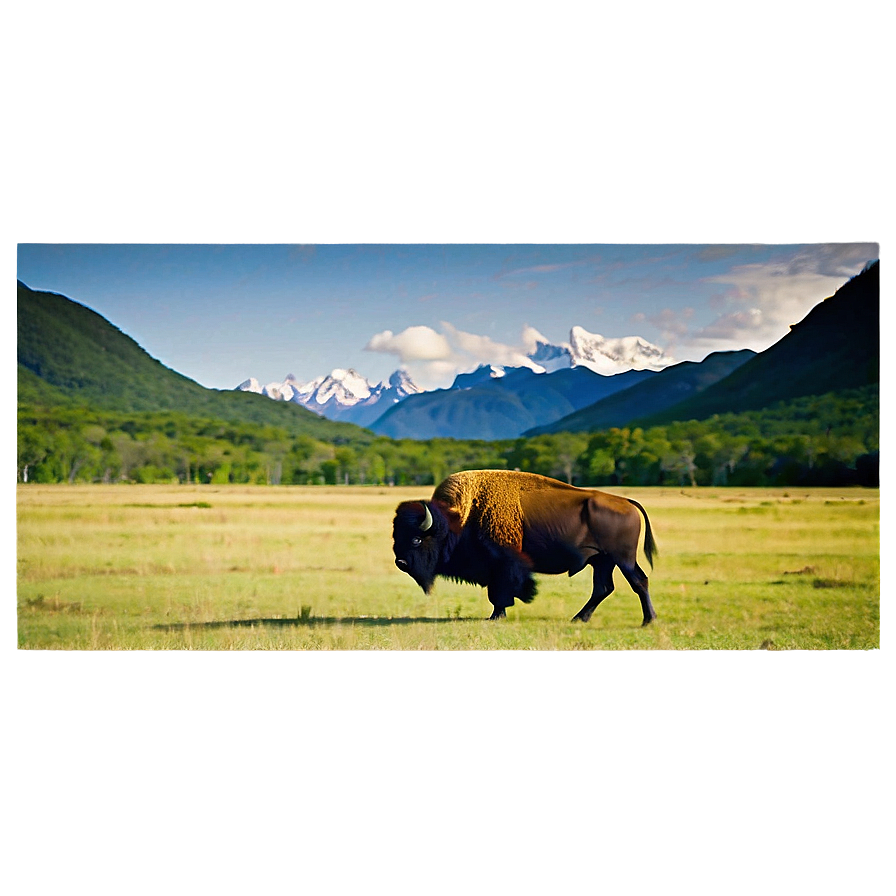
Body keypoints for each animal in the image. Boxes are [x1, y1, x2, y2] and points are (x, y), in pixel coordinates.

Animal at [394, 468, 656, 624]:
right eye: (396, 536)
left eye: (417, 539)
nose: (401, 562)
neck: (460, 519)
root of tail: (627, 502)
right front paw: (499, 614)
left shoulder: (503, 563)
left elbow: (501, 591)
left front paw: (497, 616)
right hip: (602, 561)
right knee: (603, 587)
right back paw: (579, 618)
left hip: (622, 560)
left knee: (638, 582)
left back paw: (648, 620)